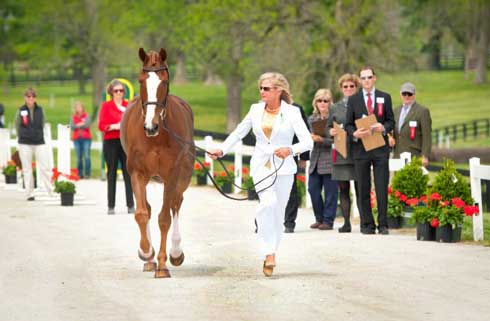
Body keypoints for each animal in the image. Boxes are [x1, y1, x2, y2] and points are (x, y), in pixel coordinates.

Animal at [120, 47, 195, 278]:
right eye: (141, 80)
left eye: (164, 81)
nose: (150, 126)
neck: (157, 137)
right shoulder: (137, 174)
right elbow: (142, 214)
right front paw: (146, 252)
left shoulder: (172, 175)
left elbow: (164, 219)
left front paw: (163, 265)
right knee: (150, 208)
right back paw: (150, 260)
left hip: (183, 177)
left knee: (175, 204)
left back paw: (175, 253)